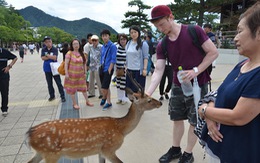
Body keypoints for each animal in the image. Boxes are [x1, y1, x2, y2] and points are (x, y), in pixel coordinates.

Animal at [25, 71, 161, 163]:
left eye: (150, 96)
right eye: (149, 100)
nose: (160, 103)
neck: (121, 129)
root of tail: (29, 135)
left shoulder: (100, 151)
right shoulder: (108, 149)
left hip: (40, 153)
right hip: (51, 153)